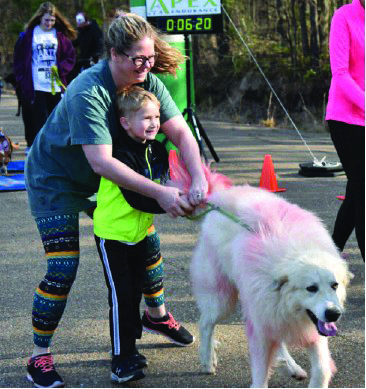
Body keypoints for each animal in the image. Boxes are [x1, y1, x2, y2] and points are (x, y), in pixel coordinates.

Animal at [189, 185, 352, 388]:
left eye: (334, 285)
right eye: (311, 288)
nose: (333, 314)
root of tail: (222, 198)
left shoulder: (311, 327)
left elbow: (322, 370)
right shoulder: (262, 324)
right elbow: (260, 374)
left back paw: (291, 366)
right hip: (223, 300)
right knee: (205, 323)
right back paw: (207, 360)